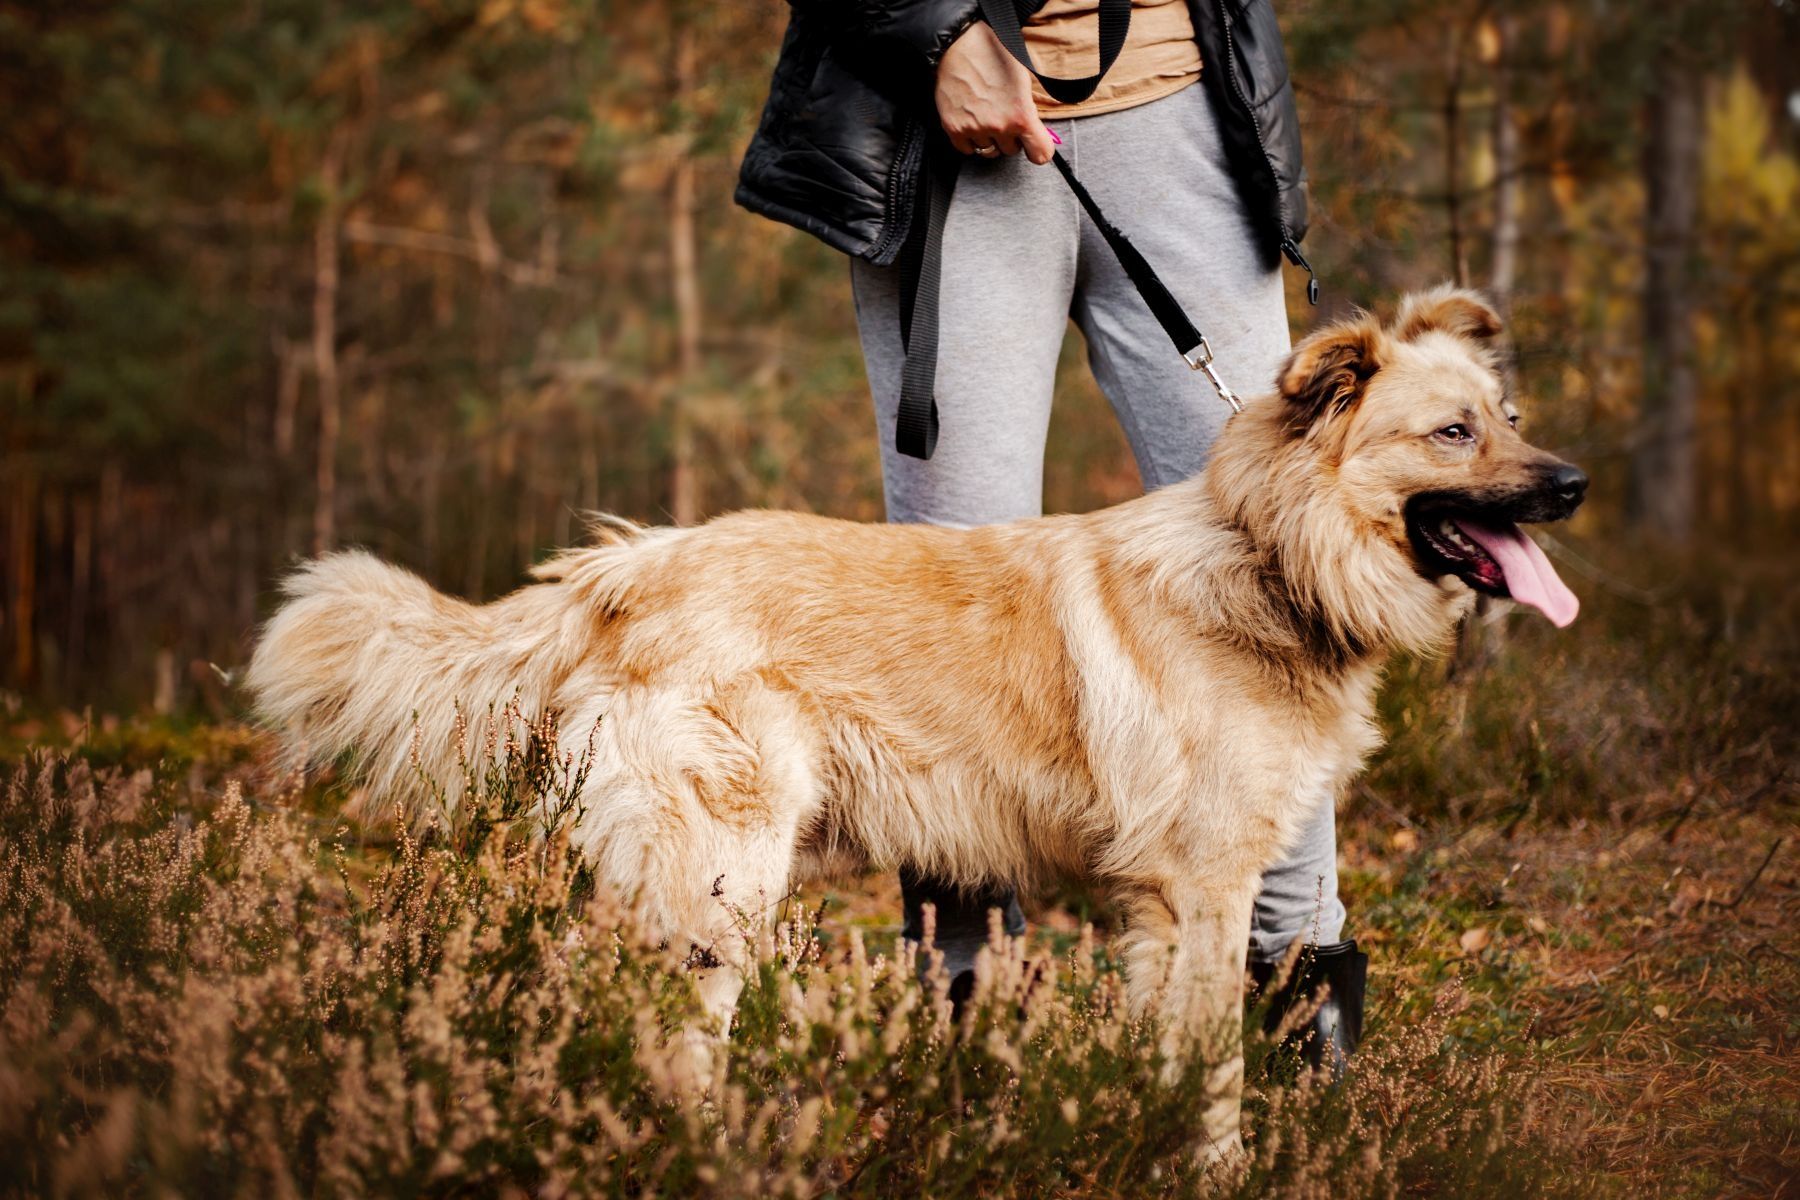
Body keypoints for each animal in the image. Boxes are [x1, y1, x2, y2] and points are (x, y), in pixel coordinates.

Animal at [246, 286, 1584, 1158]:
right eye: (1454, 432)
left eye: (1511, 417)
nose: (1571, 484)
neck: (1269, 559)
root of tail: (626, 565)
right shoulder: (1201, 886)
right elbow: (1211, 1074)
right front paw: (1219, 1171)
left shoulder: (1165, 905)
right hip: (722, 879)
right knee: (668, 1038)